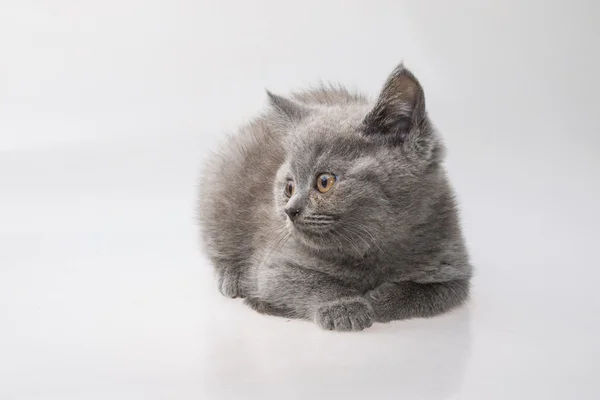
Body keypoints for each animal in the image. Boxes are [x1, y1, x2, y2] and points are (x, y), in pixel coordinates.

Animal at [199, 63, 472, 332]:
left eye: (324, 182)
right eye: (289, 187)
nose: (290, 210)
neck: (371, 251)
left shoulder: (453, 272)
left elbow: (424, 294)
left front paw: (377, 300)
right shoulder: (274, 266)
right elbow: (312, 281)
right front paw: (345, 307)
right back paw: (232, 278)